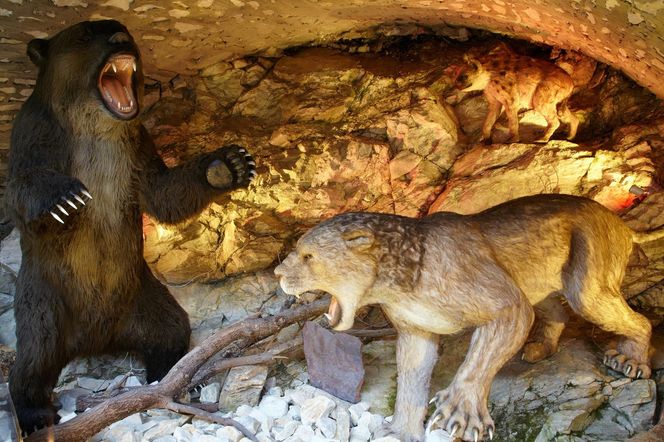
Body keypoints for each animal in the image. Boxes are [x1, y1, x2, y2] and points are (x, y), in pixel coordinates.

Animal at [6, 20, 255, 432]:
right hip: (48, 295)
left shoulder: (134, 146)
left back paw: (176, 378)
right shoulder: (37, 132)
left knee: (171, 329)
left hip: (139, 294)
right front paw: (67, 197)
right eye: (85, 33)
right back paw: (37, 414)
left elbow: (163, 192)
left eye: (121, 27)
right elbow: (20, 187)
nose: (121, 38)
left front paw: (229, 164)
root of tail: (94, 341)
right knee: (35, 354)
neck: (96, 127)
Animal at [274, 195, 660, 442]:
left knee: (637, 320)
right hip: (539, 284)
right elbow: (410, 385)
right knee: (556, 312)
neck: (399, 281)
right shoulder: (417, 332)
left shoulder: (507, 304)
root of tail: (621, 222)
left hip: (587, 285)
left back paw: (629, 360)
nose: (278, 273)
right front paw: (400, 431)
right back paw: (538, 349)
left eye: (308, 256)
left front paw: (460, 411)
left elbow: (478, 362)